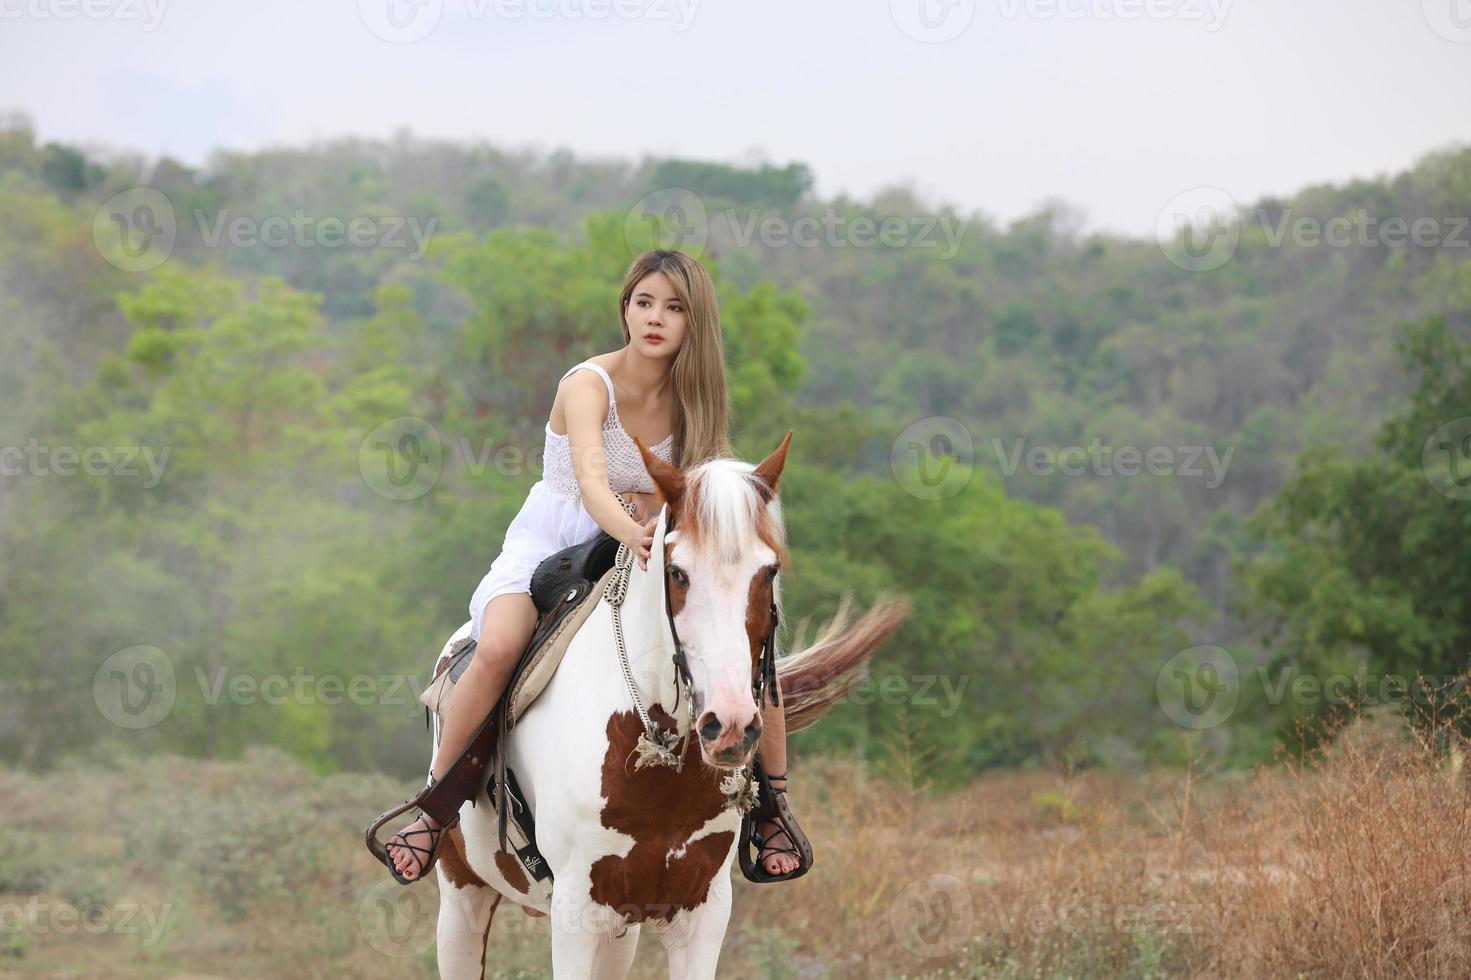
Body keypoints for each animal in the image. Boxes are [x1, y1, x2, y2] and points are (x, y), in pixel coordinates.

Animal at [426, 432, 906, 971]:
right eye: (677, 572)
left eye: (769, 571)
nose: (730, 726)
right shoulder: (574, 913)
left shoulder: (701, 911)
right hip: (462, 896)